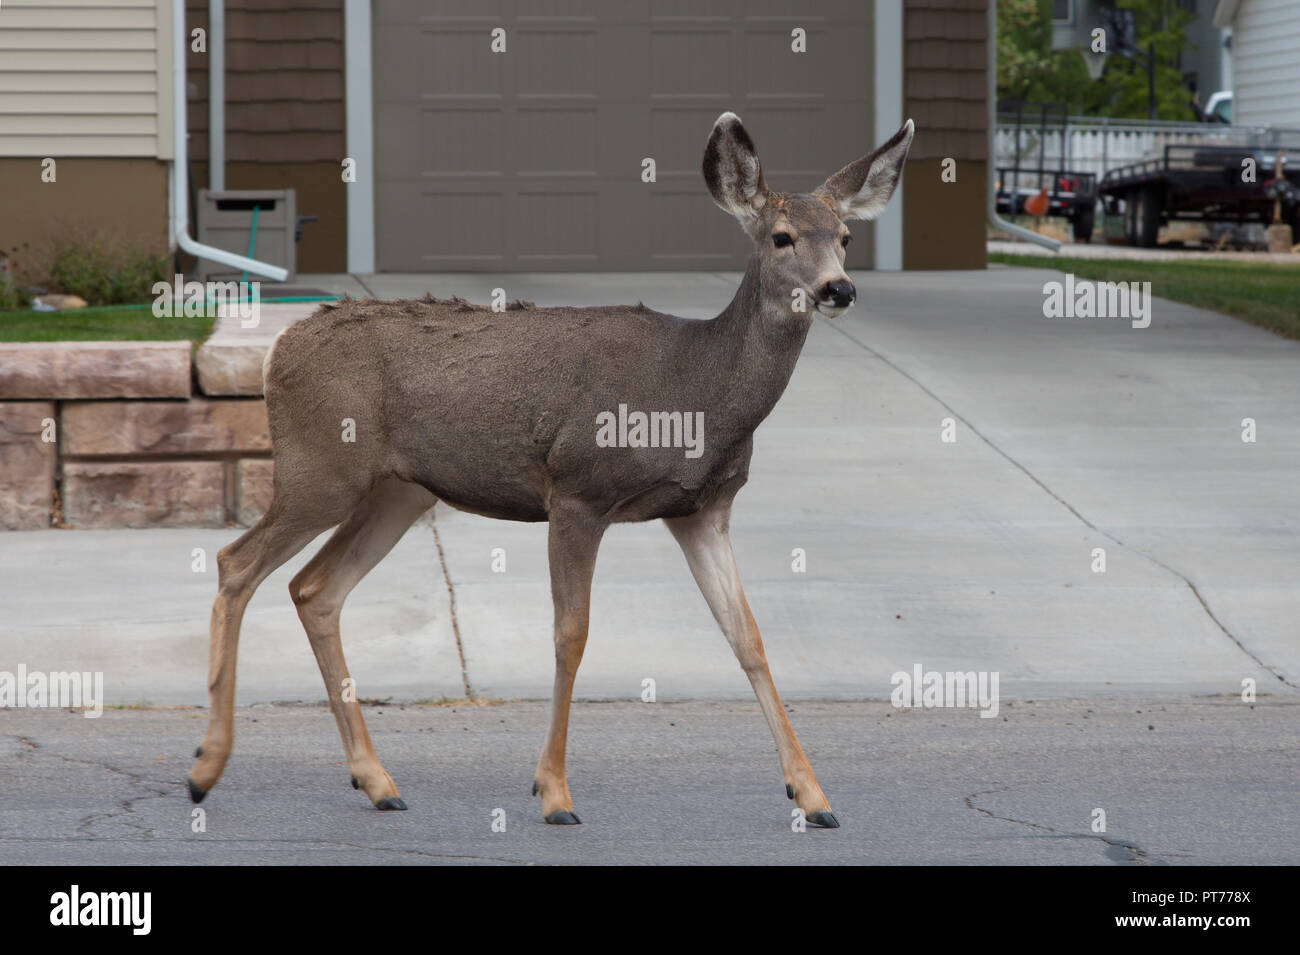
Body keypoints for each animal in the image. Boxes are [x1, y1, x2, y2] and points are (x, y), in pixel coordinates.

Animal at [189, 111, 915, 831]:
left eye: (846, 236)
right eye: (782, 236)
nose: (839, 288)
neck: (696, 391)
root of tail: (279, 347)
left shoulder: (703, 510)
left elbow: (750, 637)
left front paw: (812, 795)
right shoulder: (576, 490)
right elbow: (572, 633)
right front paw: (555, 792)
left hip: (397, 492)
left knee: (315, 588)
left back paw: (376, 781)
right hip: (320, 469)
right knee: (235, 562)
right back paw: (205, 766)